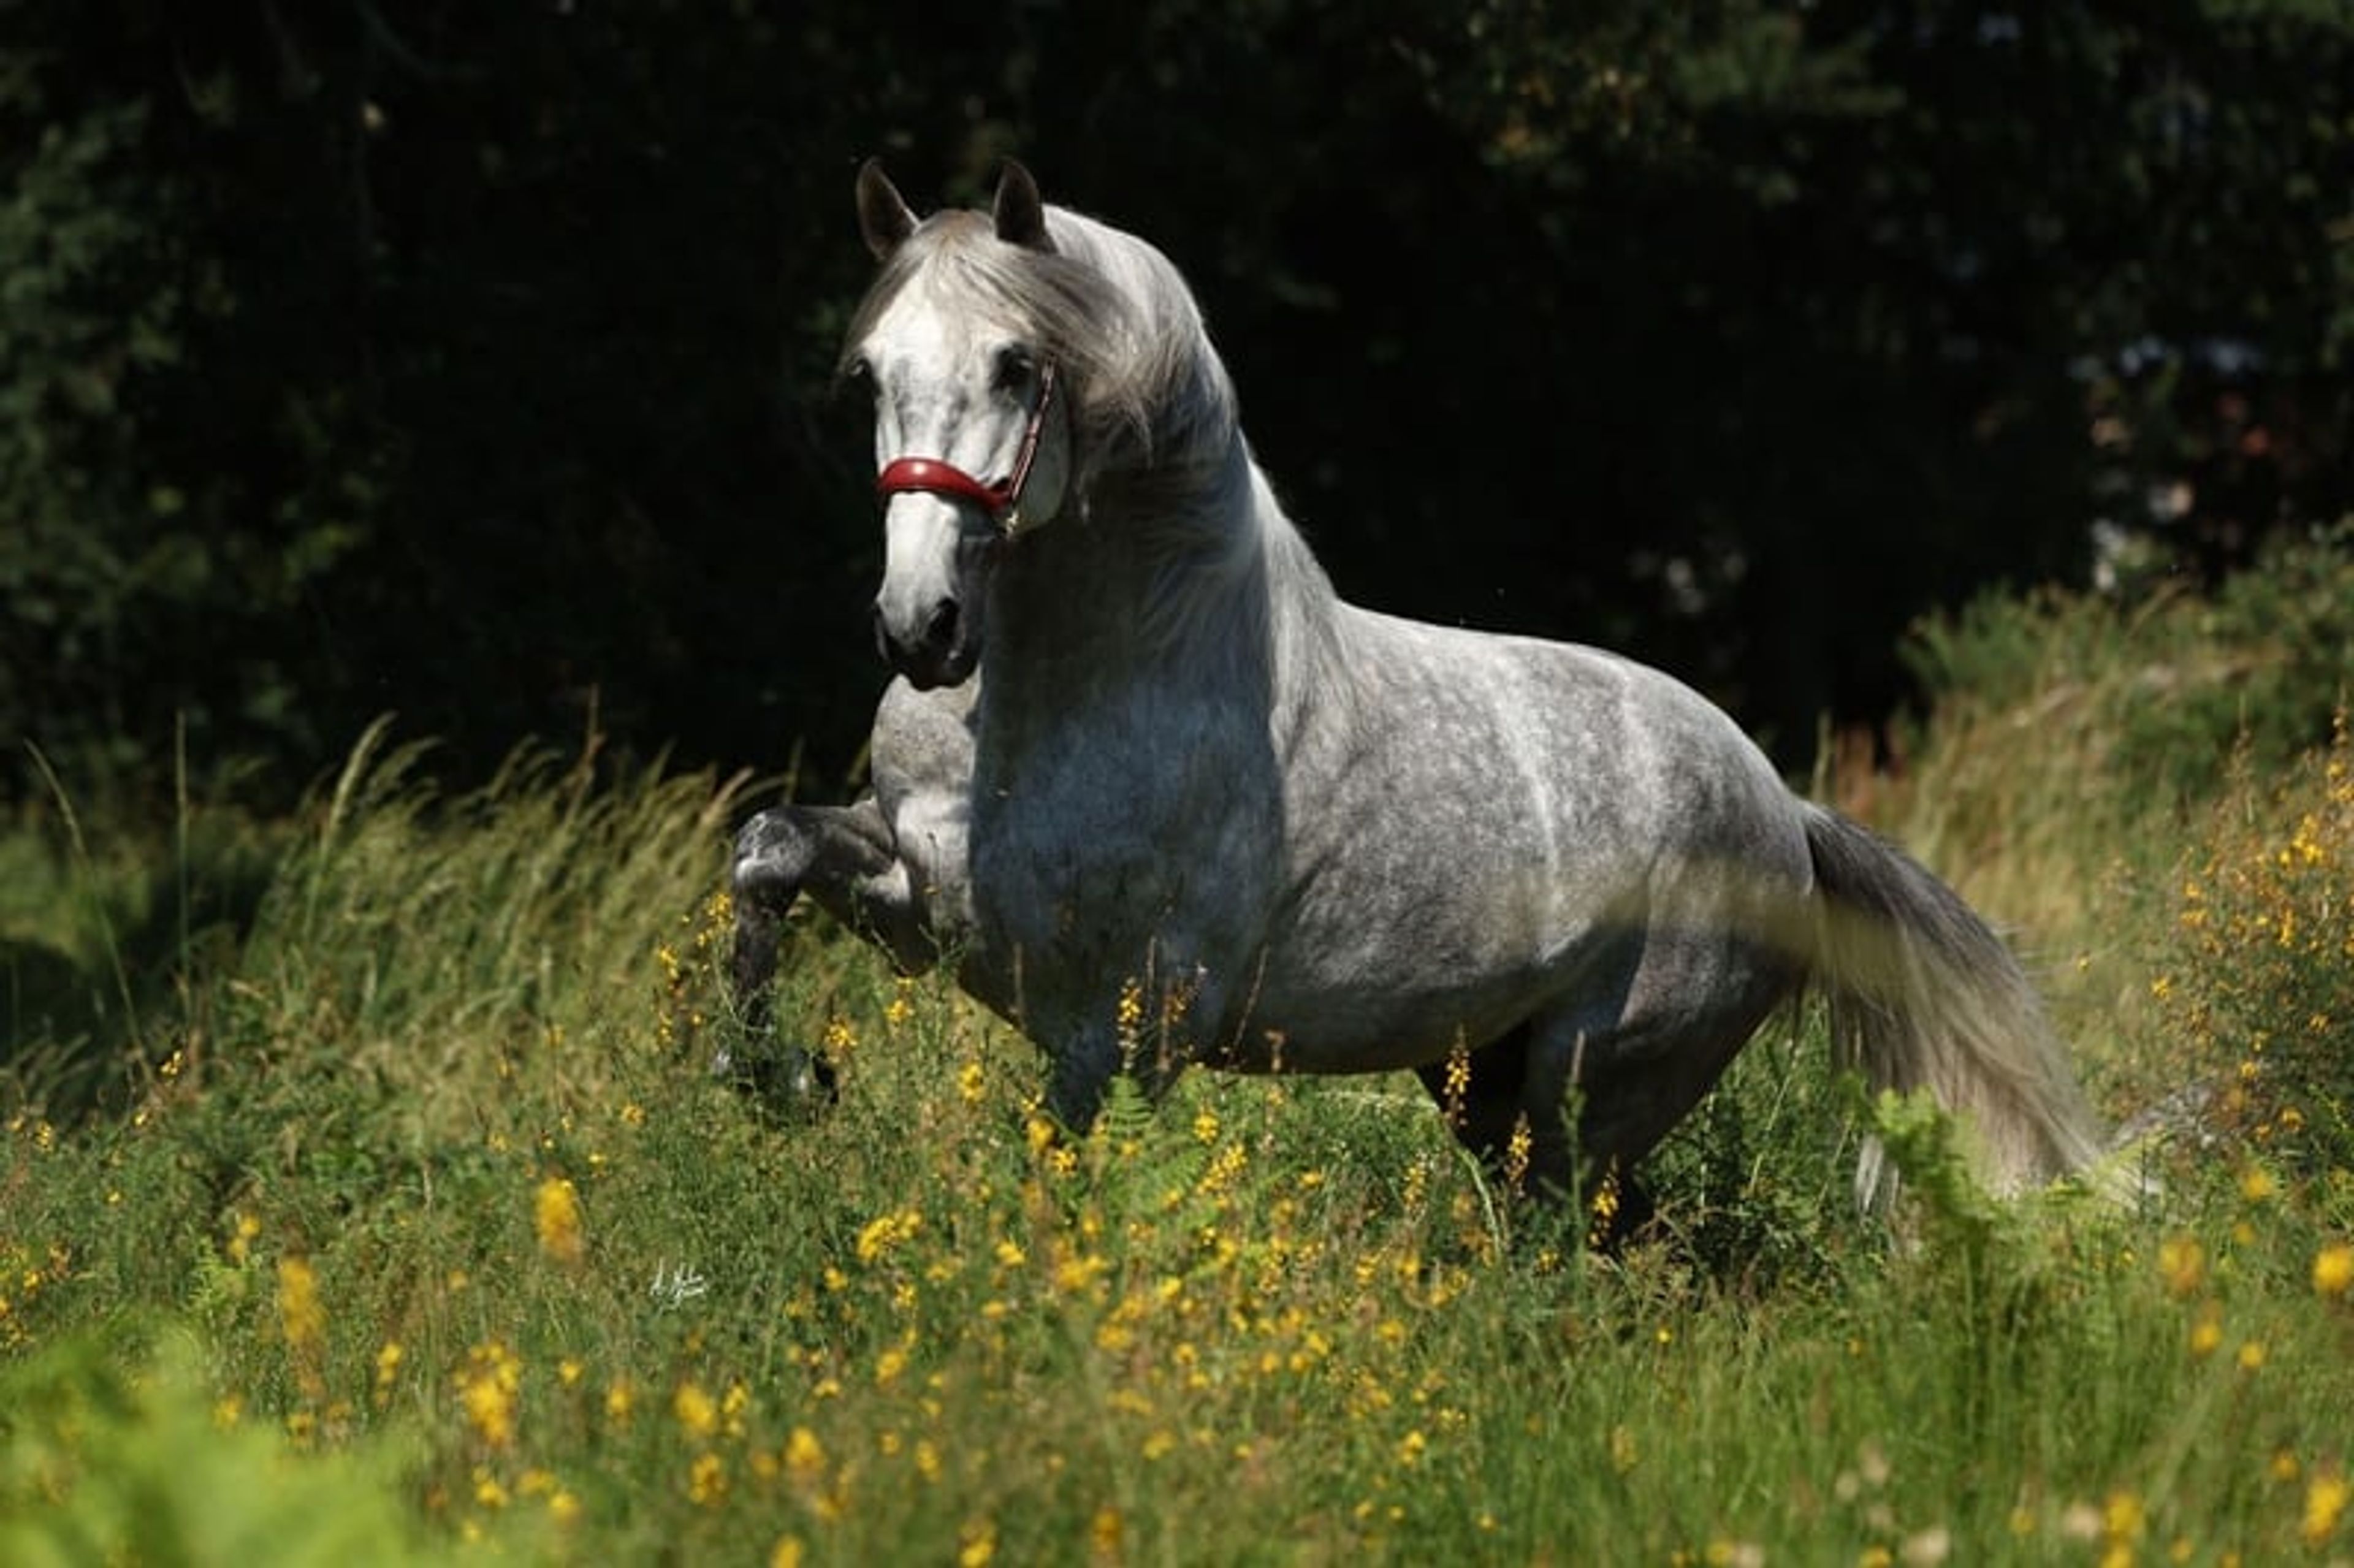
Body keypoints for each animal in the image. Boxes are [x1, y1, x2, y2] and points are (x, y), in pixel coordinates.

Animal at [728, 160, 2108, 1224]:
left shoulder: (1127, 1021)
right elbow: (767, 851)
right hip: (1485, 1086)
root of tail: (1789, 814)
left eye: (1019, 366)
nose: (922, 625)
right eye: (871, 374)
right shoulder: (924, 899)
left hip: (1592, 1084)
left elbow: (1059, 1174)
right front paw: (782, 1080)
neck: (1057, 699)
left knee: (1574, 1241)